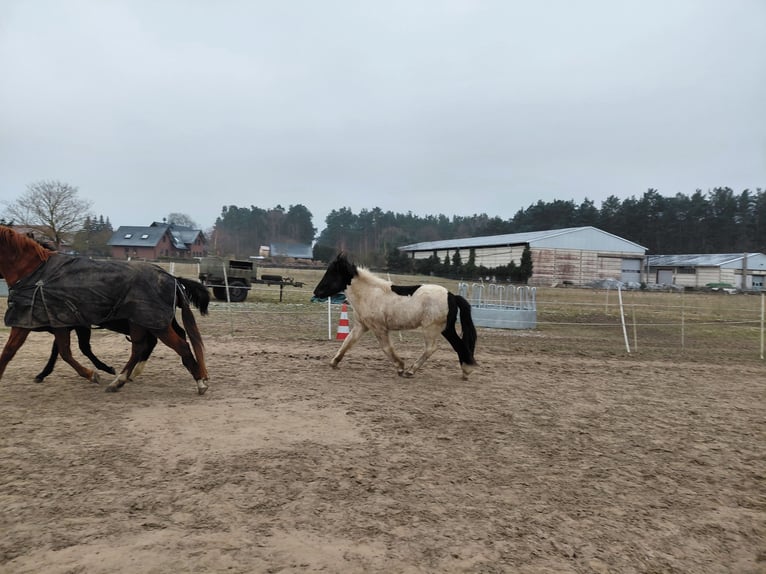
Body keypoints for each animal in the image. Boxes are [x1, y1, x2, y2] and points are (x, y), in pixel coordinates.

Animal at [0, 227, 210, 394]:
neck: (36, 274)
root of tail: (171, 278)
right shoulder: (60, 322)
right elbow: (63, 351)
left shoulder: (32, 322)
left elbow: (11, 351)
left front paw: (94, 373)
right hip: (141, 322)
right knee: (141, 346)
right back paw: (121, 380)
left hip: (155, 323)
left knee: (179, 345)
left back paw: (199, 382)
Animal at [313, 252, 477, 379]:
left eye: (332, 273)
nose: (316, 292)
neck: (369, 294)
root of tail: (452, 296)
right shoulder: (361, 326)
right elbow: (347, 342)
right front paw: (334, 362)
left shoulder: (379, 328)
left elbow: (386, 348)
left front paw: (400, 367)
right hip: (446, 329)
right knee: (458, 345)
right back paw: (466, 371)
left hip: (431, 329)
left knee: (431, 348)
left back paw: (412, 371)